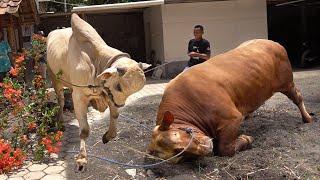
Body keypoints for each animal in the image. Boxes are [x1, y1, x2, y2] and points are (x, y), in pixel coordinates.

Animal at [47, 13, 151, 169]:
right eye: (118, 86)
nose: (121, 105)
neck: (96, 62)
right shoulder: (79, 96)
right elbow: (84, 130)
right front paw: (82, 159)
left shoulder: (110, 96)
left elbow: (114, 118)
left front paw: (107, 136)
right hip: (55, 80)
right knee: (61, 101)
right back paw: (60, 123)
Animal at [149, 39, 314, 162]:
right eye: (181, 156)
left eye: (176, 135)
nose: (206, 148)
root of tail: (272, 42)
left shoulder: (231, 118)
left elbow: (225, 149)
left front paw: (246, 138)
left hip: (287, 82)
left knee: (298, 97)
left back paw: (307, 118)